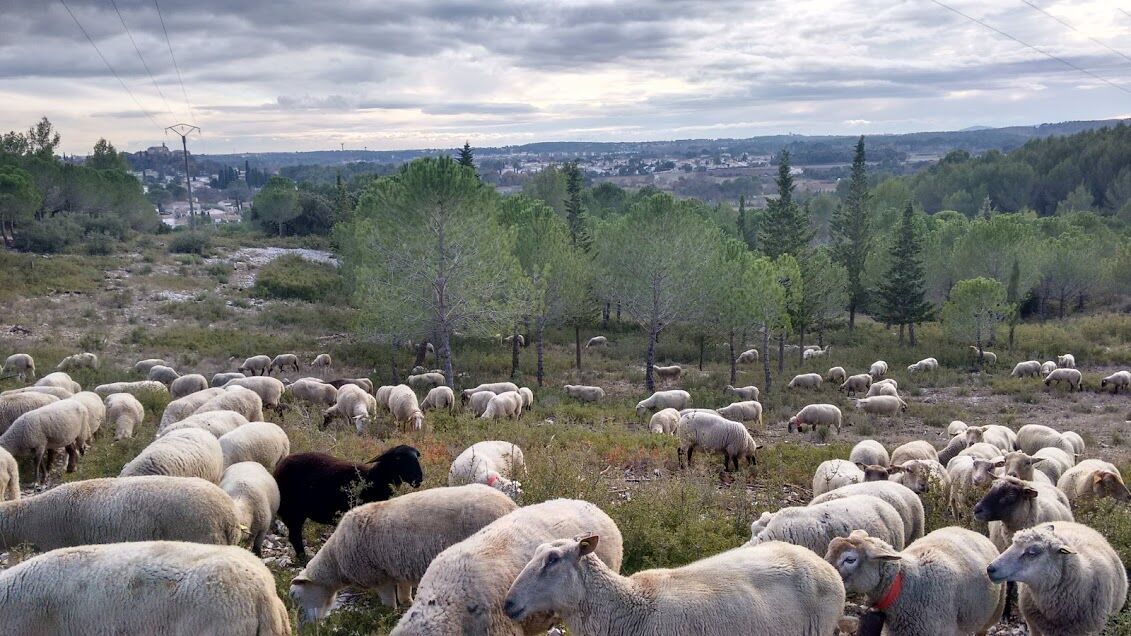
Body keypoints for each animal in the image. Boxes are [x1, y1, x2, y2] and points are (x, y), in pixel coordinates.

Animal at [274, 445, 424, 560]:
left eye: (417, 457)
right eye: (398, 458)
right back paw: (303, 559)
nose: (419, 478)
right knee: (295, 537)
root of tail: (278, 467)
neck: (373, 479)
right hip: (293, 511)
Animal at [291, 485, 519, 623]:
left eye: (295, 597)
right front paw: (408, 604)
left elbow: (388, 602)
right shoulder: (399, 566)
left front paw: (388, 615)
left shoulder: (378, 575)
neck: (336, 560)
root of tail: (510, 505)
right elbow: (404, 591)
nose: (305, 628)